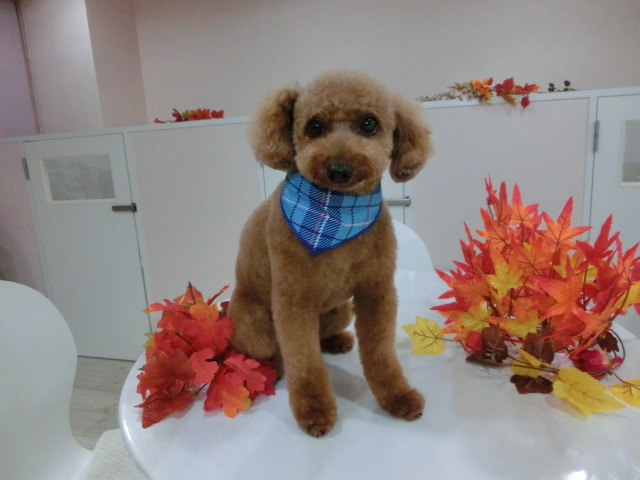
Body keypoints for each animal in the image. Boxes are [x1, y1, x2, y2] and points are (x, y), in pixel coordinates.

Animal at [228, 71, 433, 436]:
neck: (335, 215)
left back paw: (335, 341)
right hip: (255, 324)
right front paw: (314, 410)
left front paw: (397, 396)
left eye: (369, 123)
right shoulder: (293, 301)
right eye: (315, 126)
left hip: (341, 310)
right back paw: (270, 369)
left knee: (321, 336)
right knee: (269, 350)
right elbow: (304, 361)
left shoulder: (376, 291)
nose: (339, 169)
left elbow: (380, 352)